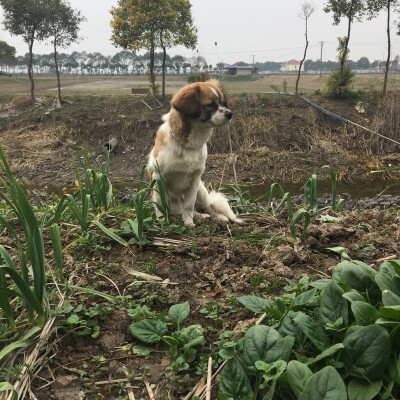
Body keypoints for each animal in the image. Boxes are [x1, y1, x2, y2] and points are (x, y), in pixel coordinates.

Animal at [146, 79, 242, 227]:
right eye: (210, 105)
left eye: (222, 103)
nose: (230, 114)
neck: (187, 145)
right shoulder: (158, 177)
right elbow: (160, 203)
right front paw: (162, 221)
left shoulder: (194, 180)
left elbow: (189, 205)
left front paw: (188, 222)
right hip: (174, 203)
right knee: (185, 210)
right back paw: (201, 216)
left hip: (201, 191)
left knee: (207, 207)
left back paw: (216, 217)